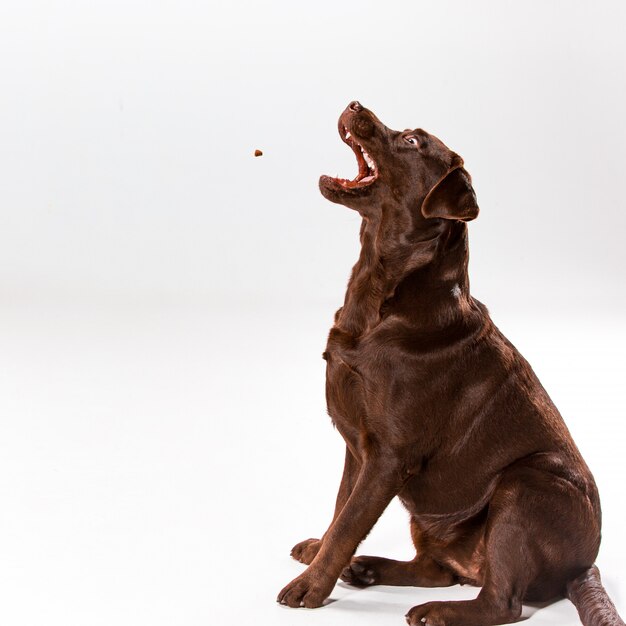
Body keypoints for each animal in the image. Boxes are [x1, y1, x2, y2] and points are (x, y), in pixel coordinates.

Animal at [276, 100, 620, 620]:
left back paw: (436, 611)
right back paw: (369, 568)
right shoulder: (356, 444)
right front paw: (320, 554)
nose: (354, 104)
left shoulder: (388, 455)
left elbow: (350, 519)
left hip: (527, 484)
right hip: (437, 519)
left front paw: (310, 585)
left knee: (503, 602)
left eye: (412, 141)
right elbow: (341, 509)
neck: (379, 293)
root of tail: (585, 568)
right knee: (437, 568)